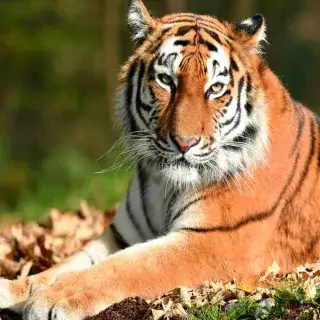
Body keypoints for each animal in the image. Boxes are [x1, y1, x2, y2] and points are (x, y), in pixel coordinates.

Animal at [0, 1, 320, 318]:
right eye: (166, 80)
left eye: (215, 88)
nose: (185, 142)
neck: (165, 186)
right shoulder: (121, 234)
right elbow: (64, 264)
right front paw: (15, 288)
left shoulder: (216, 241)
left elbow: (126, 266)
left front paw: (54, 298)